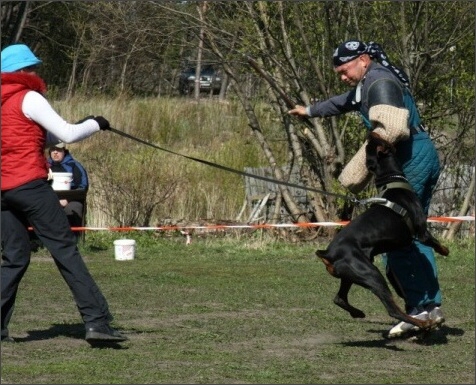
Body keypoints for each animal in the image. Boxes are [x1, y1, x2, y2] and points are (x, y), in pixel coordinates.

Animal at [318, 130, 448, 332]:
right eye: (376, 141)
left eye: (368, 147)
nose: (371, 131)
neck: (392, 180)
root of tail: (328, 253)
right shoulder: (421, 231)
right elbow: (433, 241)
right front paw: (445, 250)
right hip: (370, 273)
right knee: (392, 309)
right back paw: (423, 323)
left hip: (351, 273)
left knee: (339, 298)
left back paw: (358, 313)